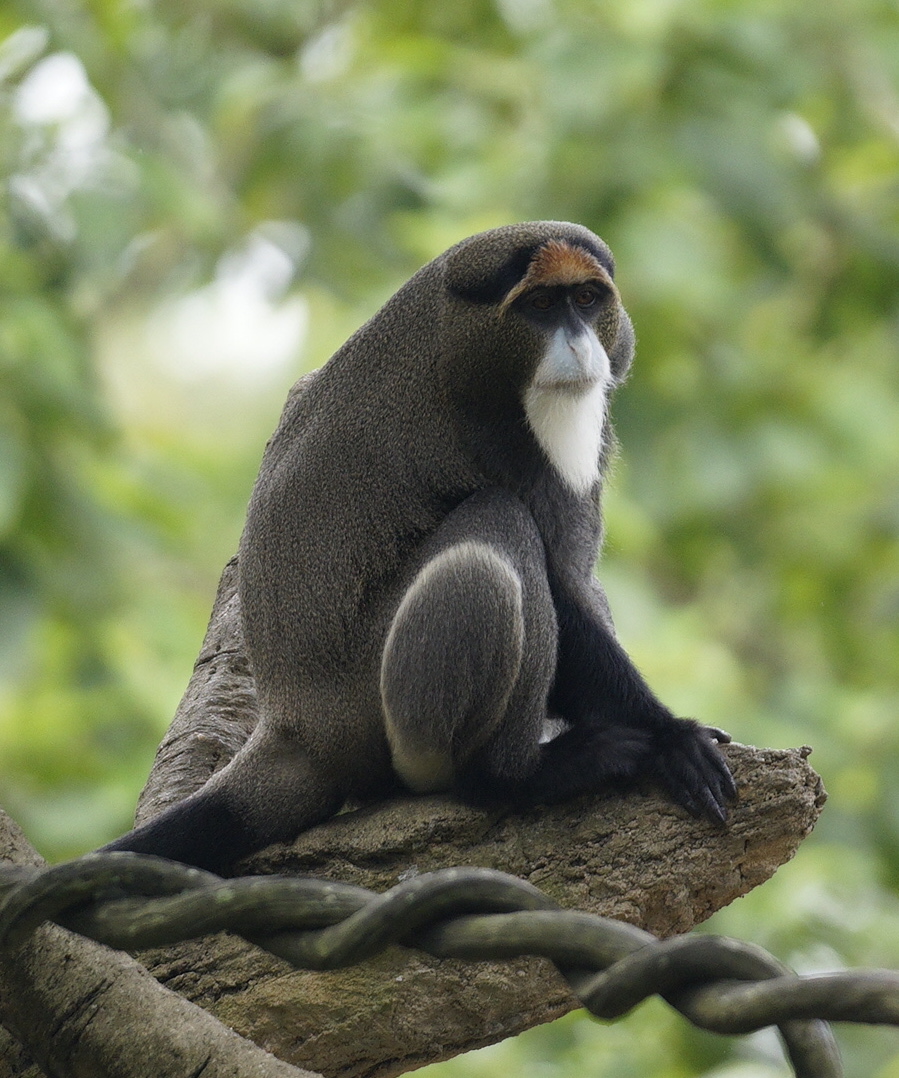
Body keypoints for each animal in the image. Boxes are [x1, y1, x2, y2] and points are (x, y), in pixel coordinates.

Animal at [103, 221, 735, 874]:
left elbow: (581, 582)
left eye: (586, 299)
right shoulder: (492, 436)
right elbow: (561, 590)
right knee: (496, 528)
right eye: (539, 305)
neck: (464, 344)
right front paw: (671, 737)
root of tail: (294, 726)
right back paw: (516, 777)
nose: (581, 345)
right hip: (371, 708)